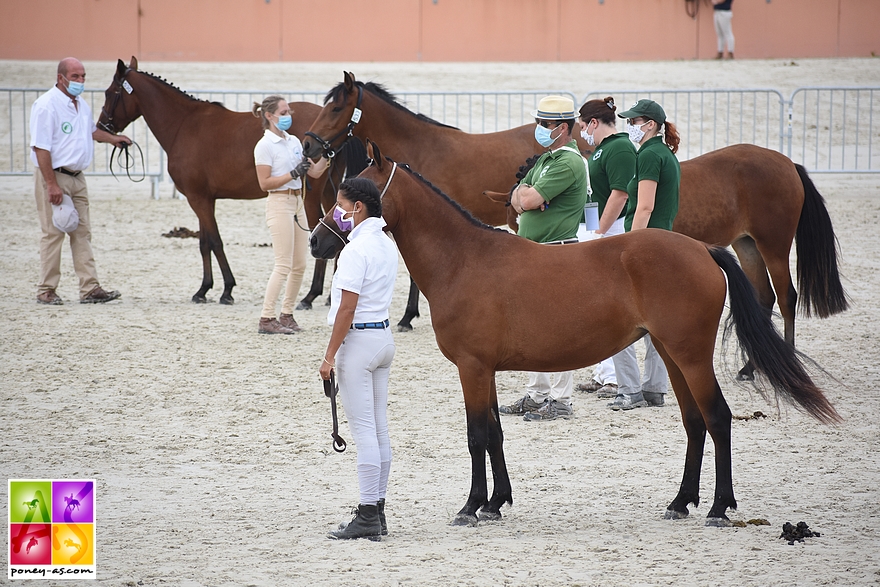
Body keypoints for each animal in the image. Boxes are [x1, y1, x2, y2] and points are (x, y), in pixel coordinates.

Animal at [98, 57, 366, 306]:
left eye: (110, 93)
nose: (101, 126)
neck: (183, 125)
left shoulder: (197, 198)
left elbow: (215, 242)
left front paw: (225, 290)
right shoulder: (204, 198)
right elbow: (204, 242)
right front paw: (204, 289)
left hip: (311, 196)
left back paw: (310, 295)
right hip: (329, 192)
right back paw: (330, 295)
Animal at [484, 145, 848, 378]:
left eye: (530, 210)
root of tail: (787, 163)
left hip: (773, 244)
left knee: (787, 298)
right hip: (746, 245)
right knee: (764, 297)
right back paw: (751, 366)